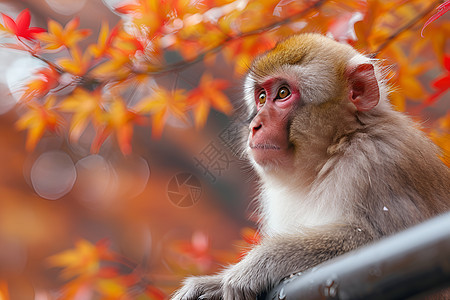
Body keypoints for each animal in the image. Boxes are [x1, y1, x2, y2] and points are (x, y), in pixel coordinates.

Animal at [170, 33, 450, 300]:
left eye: (283, 93)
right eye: (262, 97)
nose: (255, 126)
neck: (335, 147)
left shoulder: (376, 161)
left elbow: (379, 239)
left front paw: (260, 263)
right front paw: (211, 285)